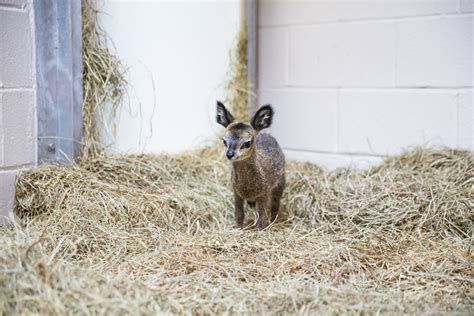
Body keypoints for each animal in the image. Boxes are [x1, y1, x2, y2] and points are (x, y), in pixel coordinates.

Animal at [216, 101, 286, 230]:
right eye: (224, 141)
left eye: (247, 143)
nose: (230, 154)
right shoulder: (236, 192)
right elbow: (239, 213)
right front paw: (238, 228)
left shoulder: (264, 194)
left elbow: (262, 217)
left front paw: (261, 230)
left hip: (280, 183)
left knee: (275, 205)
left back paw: (273, 221)